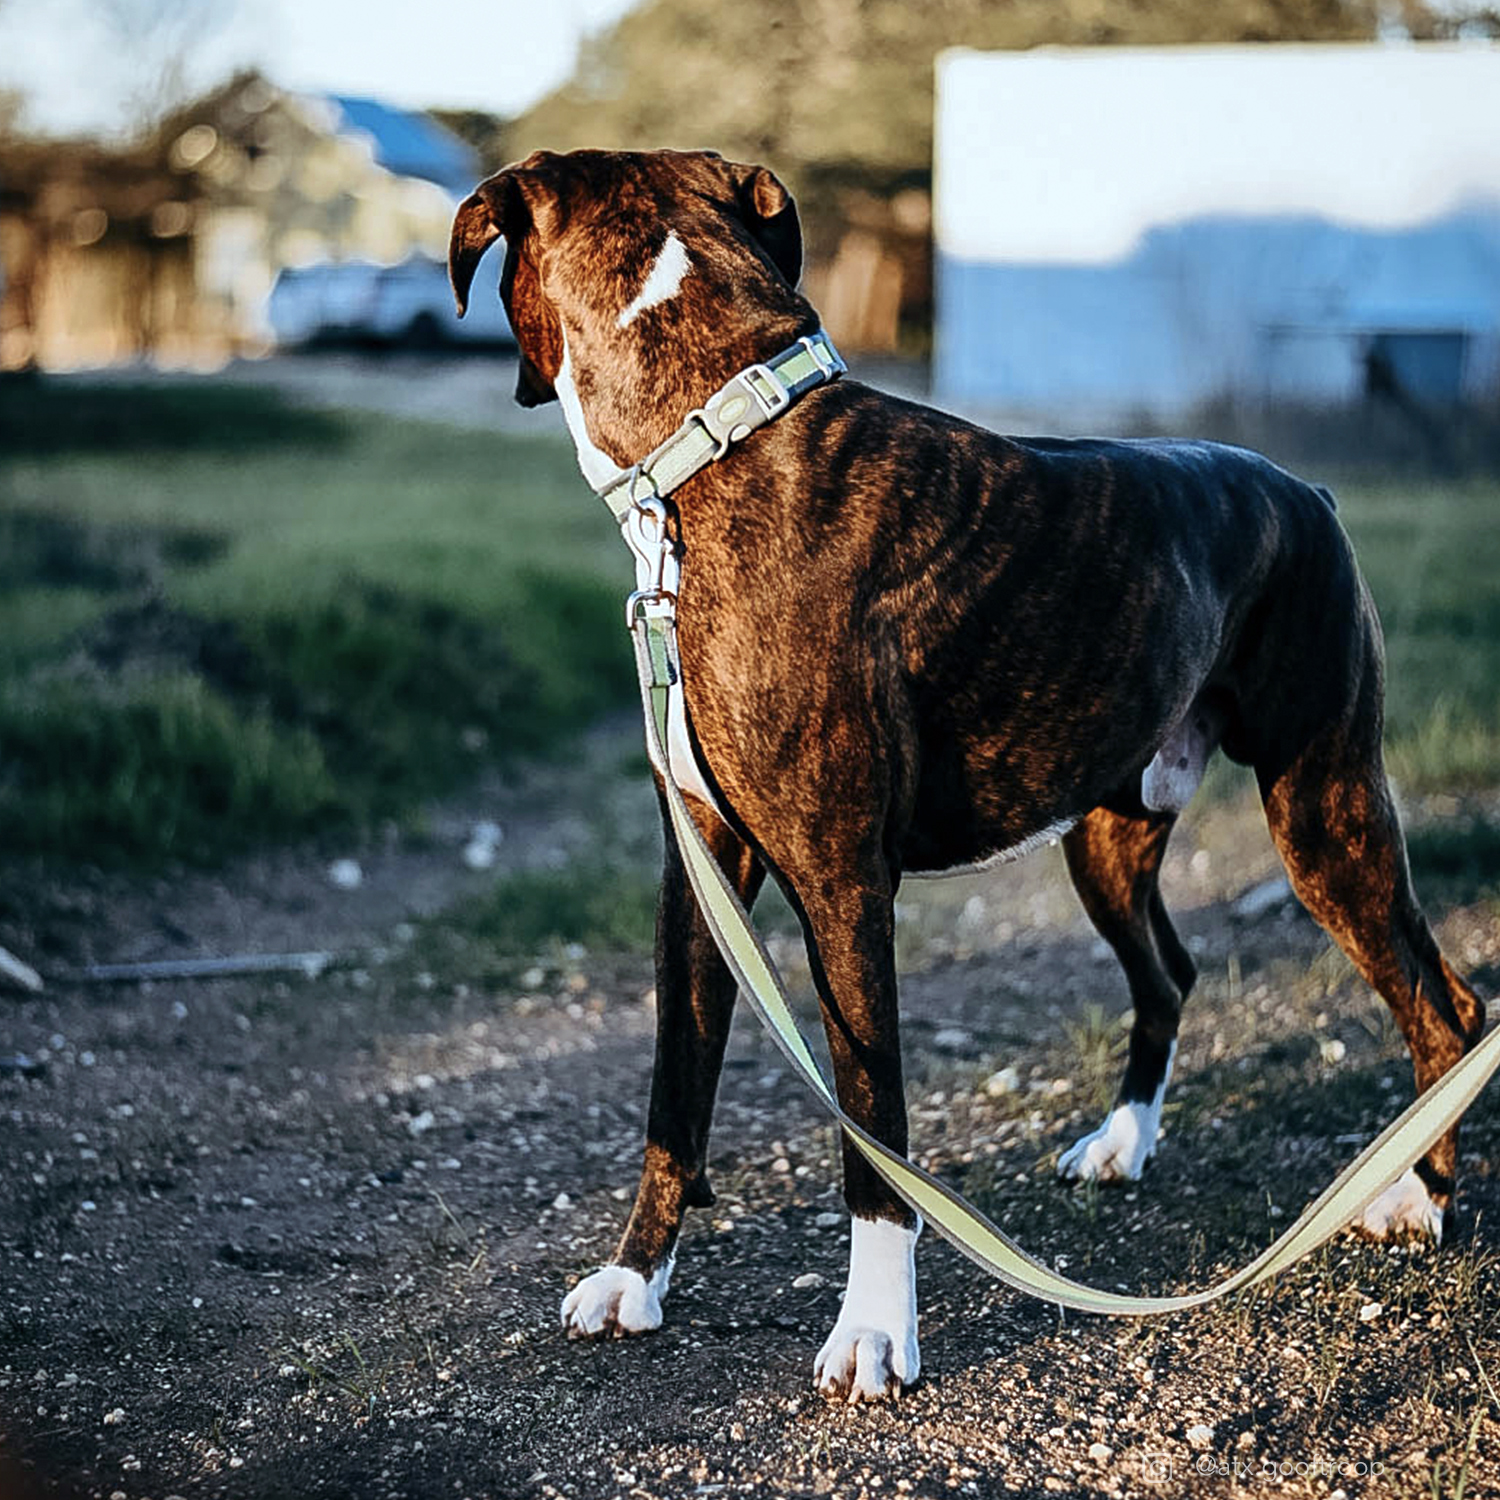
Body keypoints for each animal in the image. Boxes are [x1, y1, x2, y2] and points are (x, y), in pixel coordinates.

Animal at [448, 148, 1486, 1402]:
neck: (716, 435)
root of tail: (1311, 495)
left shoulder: (845, 894)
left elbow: (874, 1130)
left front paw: (873, 1332)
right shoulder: (698, 880)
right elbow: (674, 1091)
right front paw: (636, 1277)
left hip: (1325, 817)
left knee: (1443, 1006)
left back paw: (1417, 1197)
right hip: (1109, 843)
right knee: (1171, 974)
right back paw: (1125, 1141)